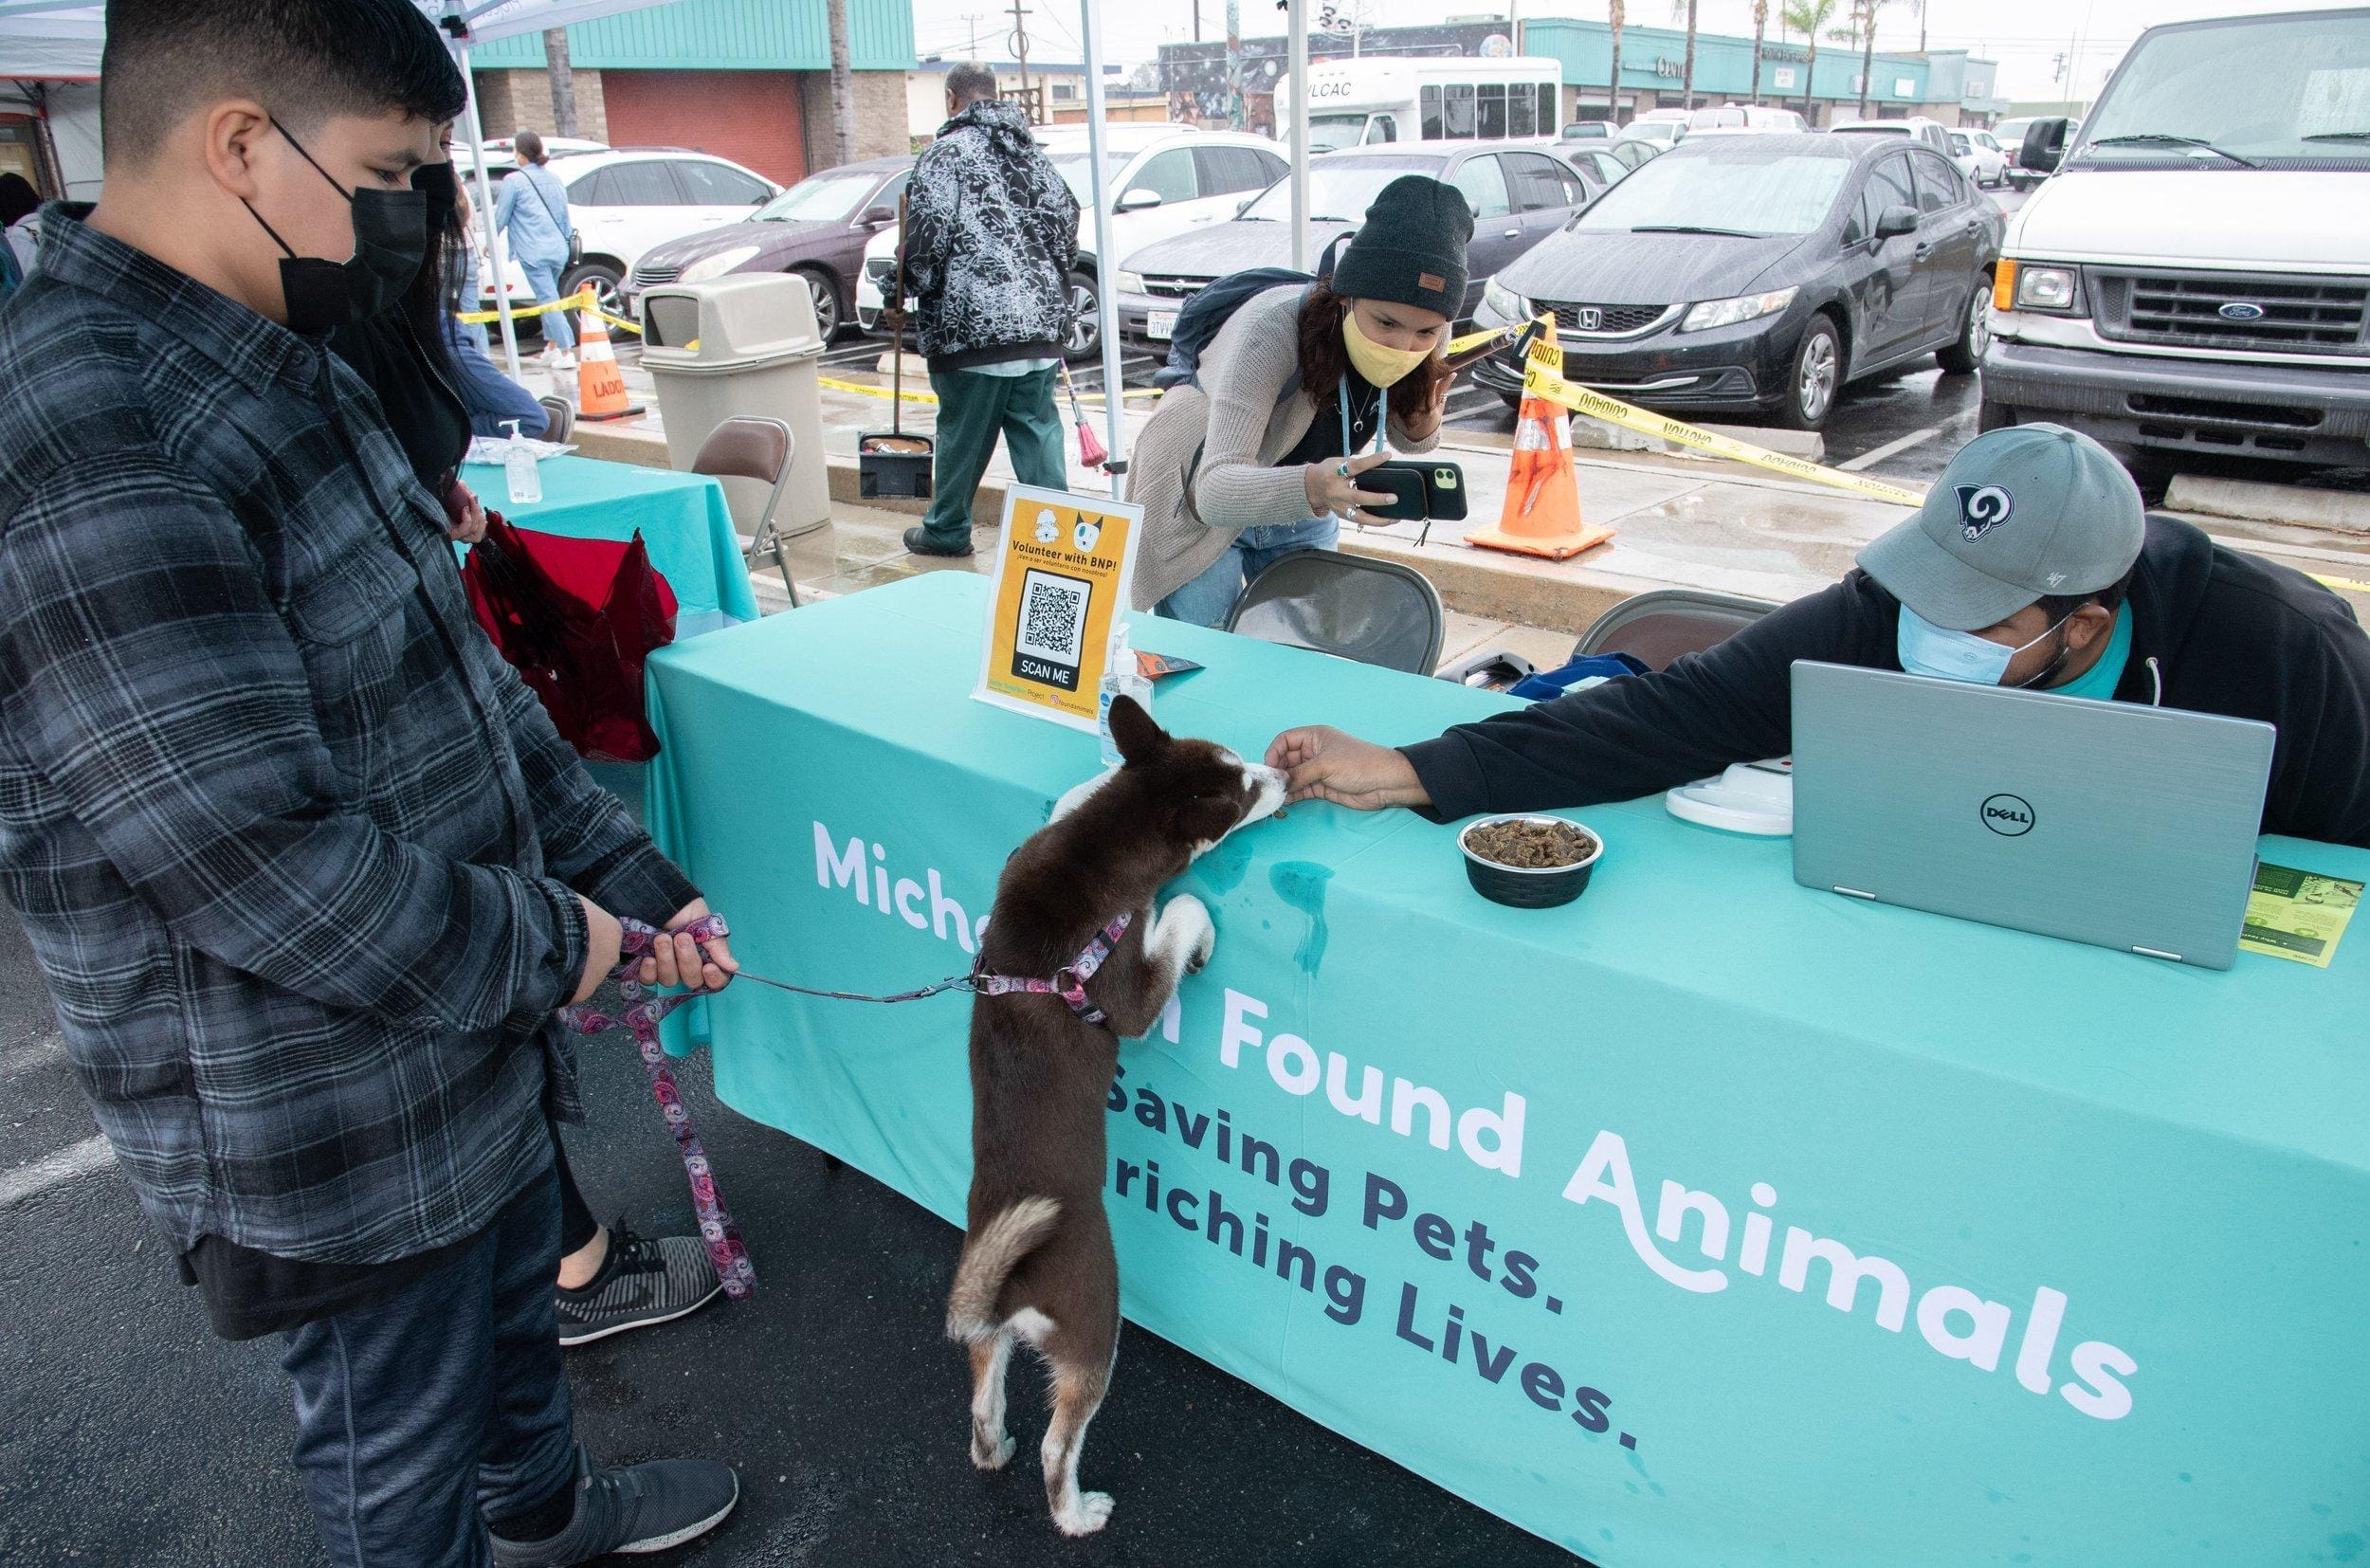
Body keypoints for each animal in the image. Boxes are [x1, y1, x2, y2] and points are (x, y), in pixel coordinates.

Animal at [948, 696, 1289, 1535]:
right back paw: (1077, 1513)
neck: (1094, 852)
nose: (1282, 772)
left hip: (990, 1332)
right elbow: (1183, 910)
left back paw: (993, 1447)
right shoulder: (1128, 995)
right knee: (1057, 1446)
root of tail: (1013, 1289)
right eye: (1245, 791)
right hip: (1097, 1326)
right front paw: (1194, 922)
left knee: (983, 1402)